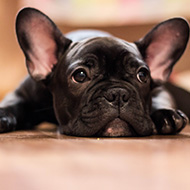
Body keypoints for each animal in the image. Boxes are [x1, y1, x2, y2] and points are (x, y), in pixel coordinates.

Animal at [0, 7, 190, 137]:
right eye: (80, 75)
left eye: (142, 75)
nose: (118, 94)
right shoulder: (23, 93)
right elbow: (12, 103)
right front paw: (2, 115)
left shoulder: (160, 90)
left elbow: (160, 99)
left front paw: (167, 115)